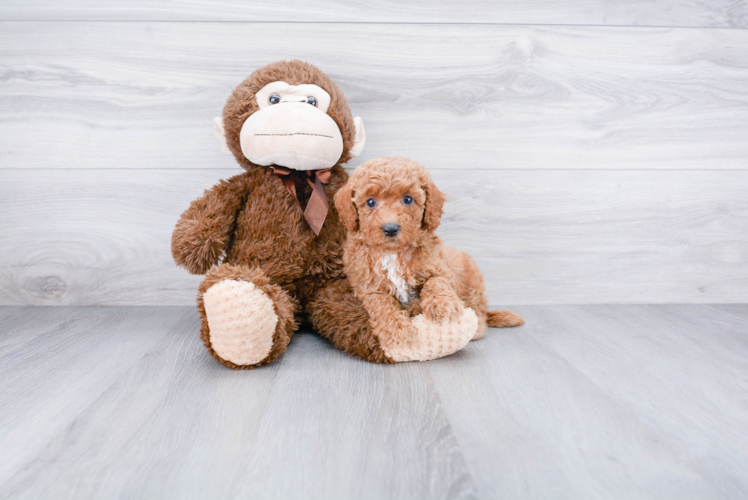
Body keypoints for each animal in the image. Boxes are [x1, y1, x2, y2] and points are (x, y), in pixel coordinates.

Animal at [336, 156, 524, 360]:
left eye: (408, 199)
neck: (392, 252)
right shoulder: (367, 285)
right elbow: (381, 302)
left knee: (479, 319)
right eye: (370, 202)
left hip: (474, 286)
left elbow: (435, 282)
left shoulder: (439, 268)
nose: (390, 228)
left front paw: (443, 305)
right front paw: (396, 328)